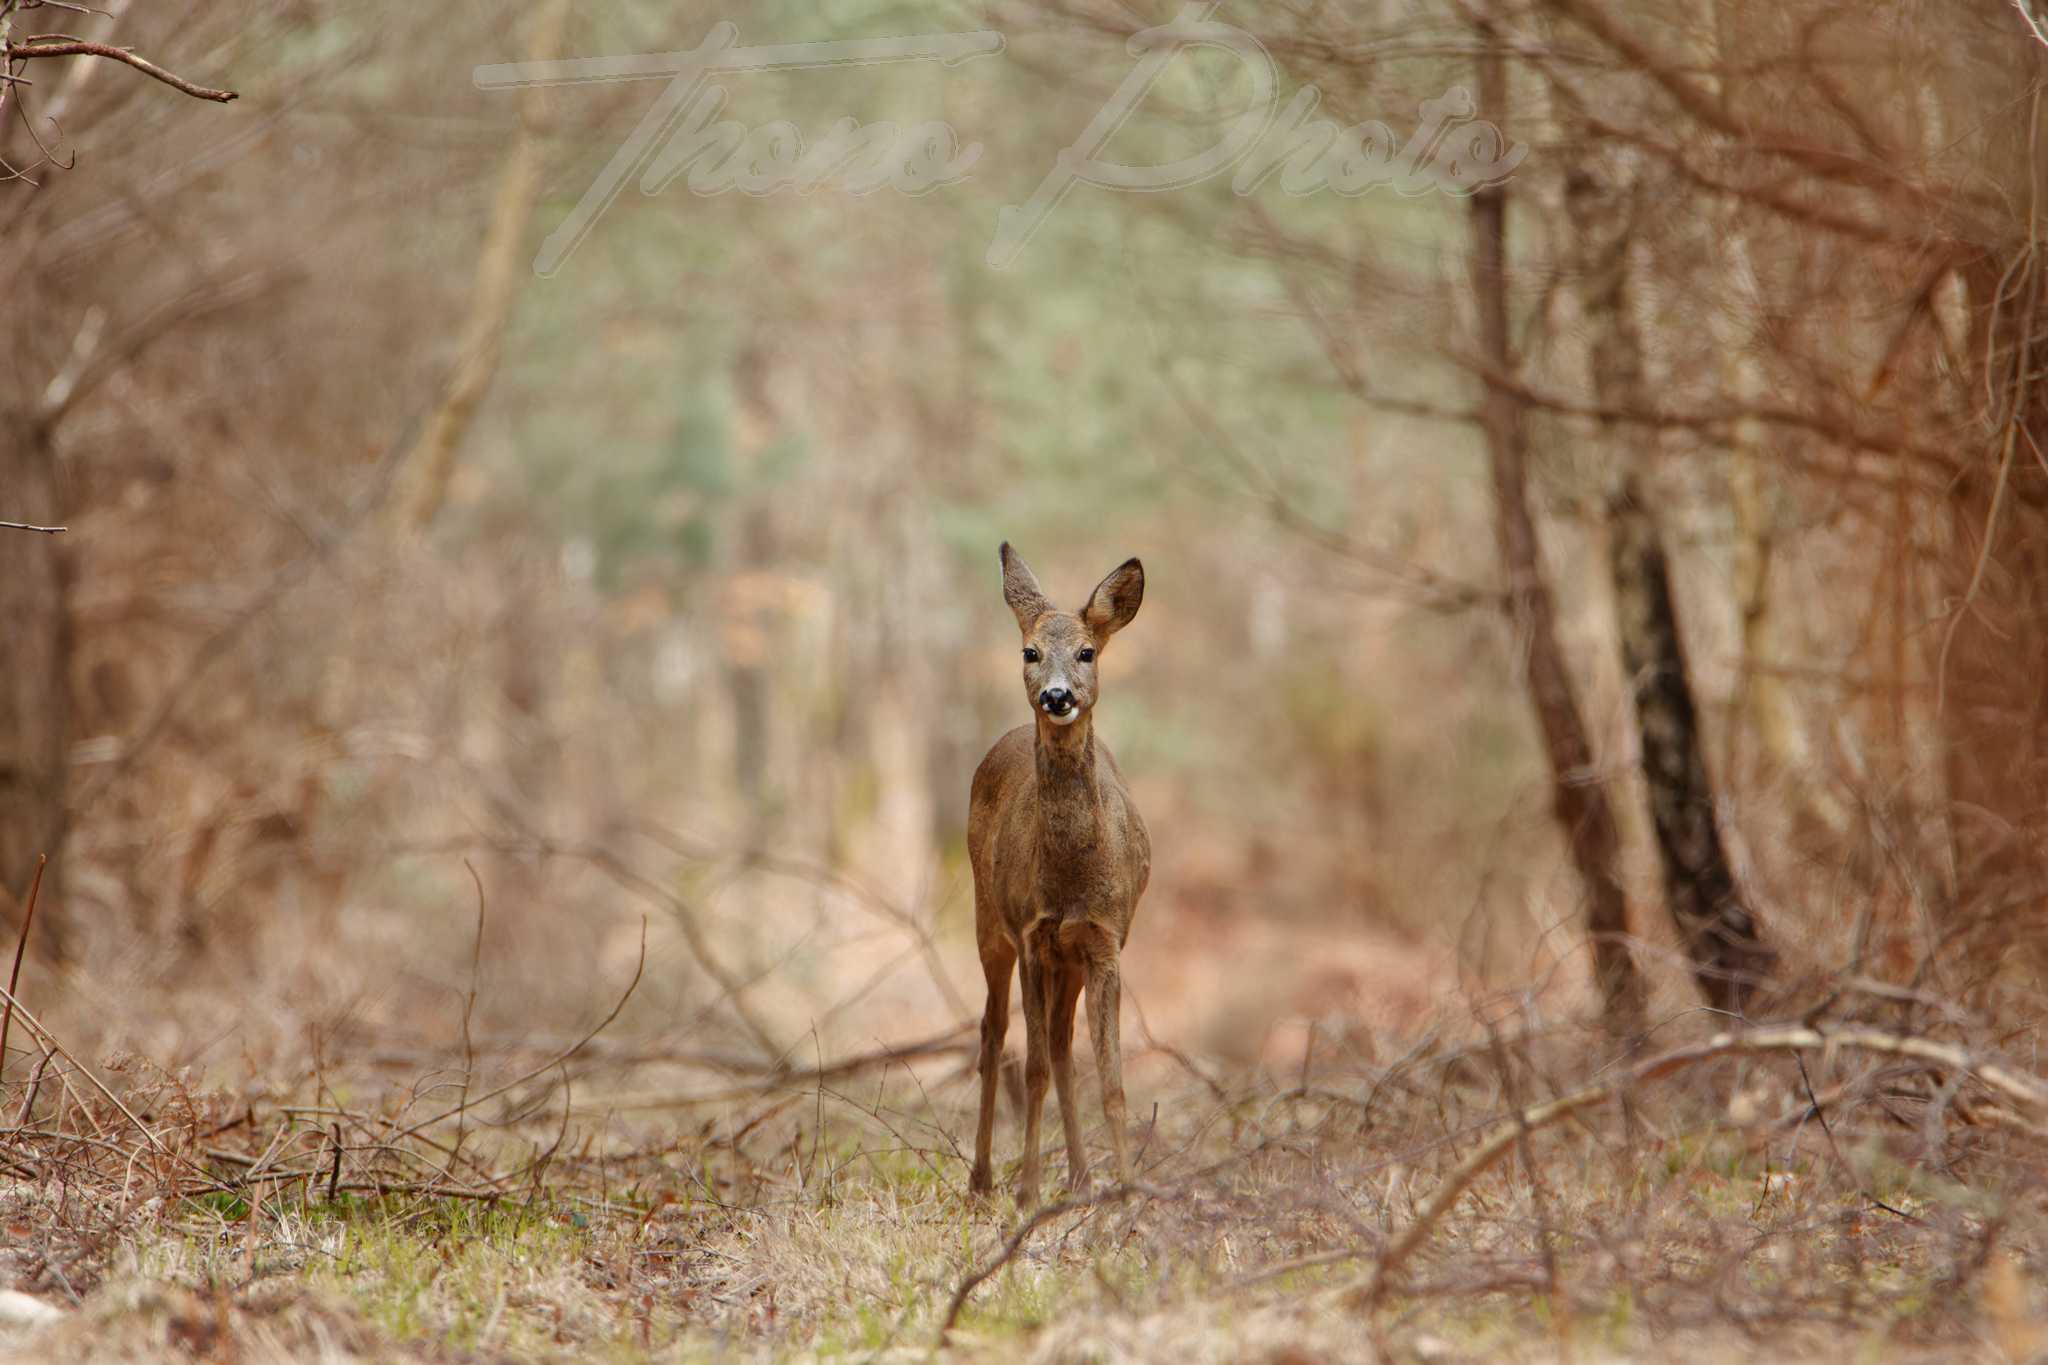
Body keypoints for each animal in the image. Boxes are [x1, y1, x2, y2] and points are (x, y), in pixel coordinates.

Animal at [962, 544, 1146, 1203]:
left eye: (1088, 651)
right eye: (1030, 652)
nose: (1058, 696)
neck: (1071, 881)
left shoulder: (1104, 939)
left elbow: (1110, 1079)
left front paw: (1126, 1190)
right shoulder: (1032, 935)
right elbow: (1036, 1067)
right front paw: (1028, 1192)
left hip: (1069, 959)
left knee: (1064, 1044)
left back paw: (1083, 1176)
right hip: (988, 921)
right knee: (994, 1033)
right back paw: (983, 1178)